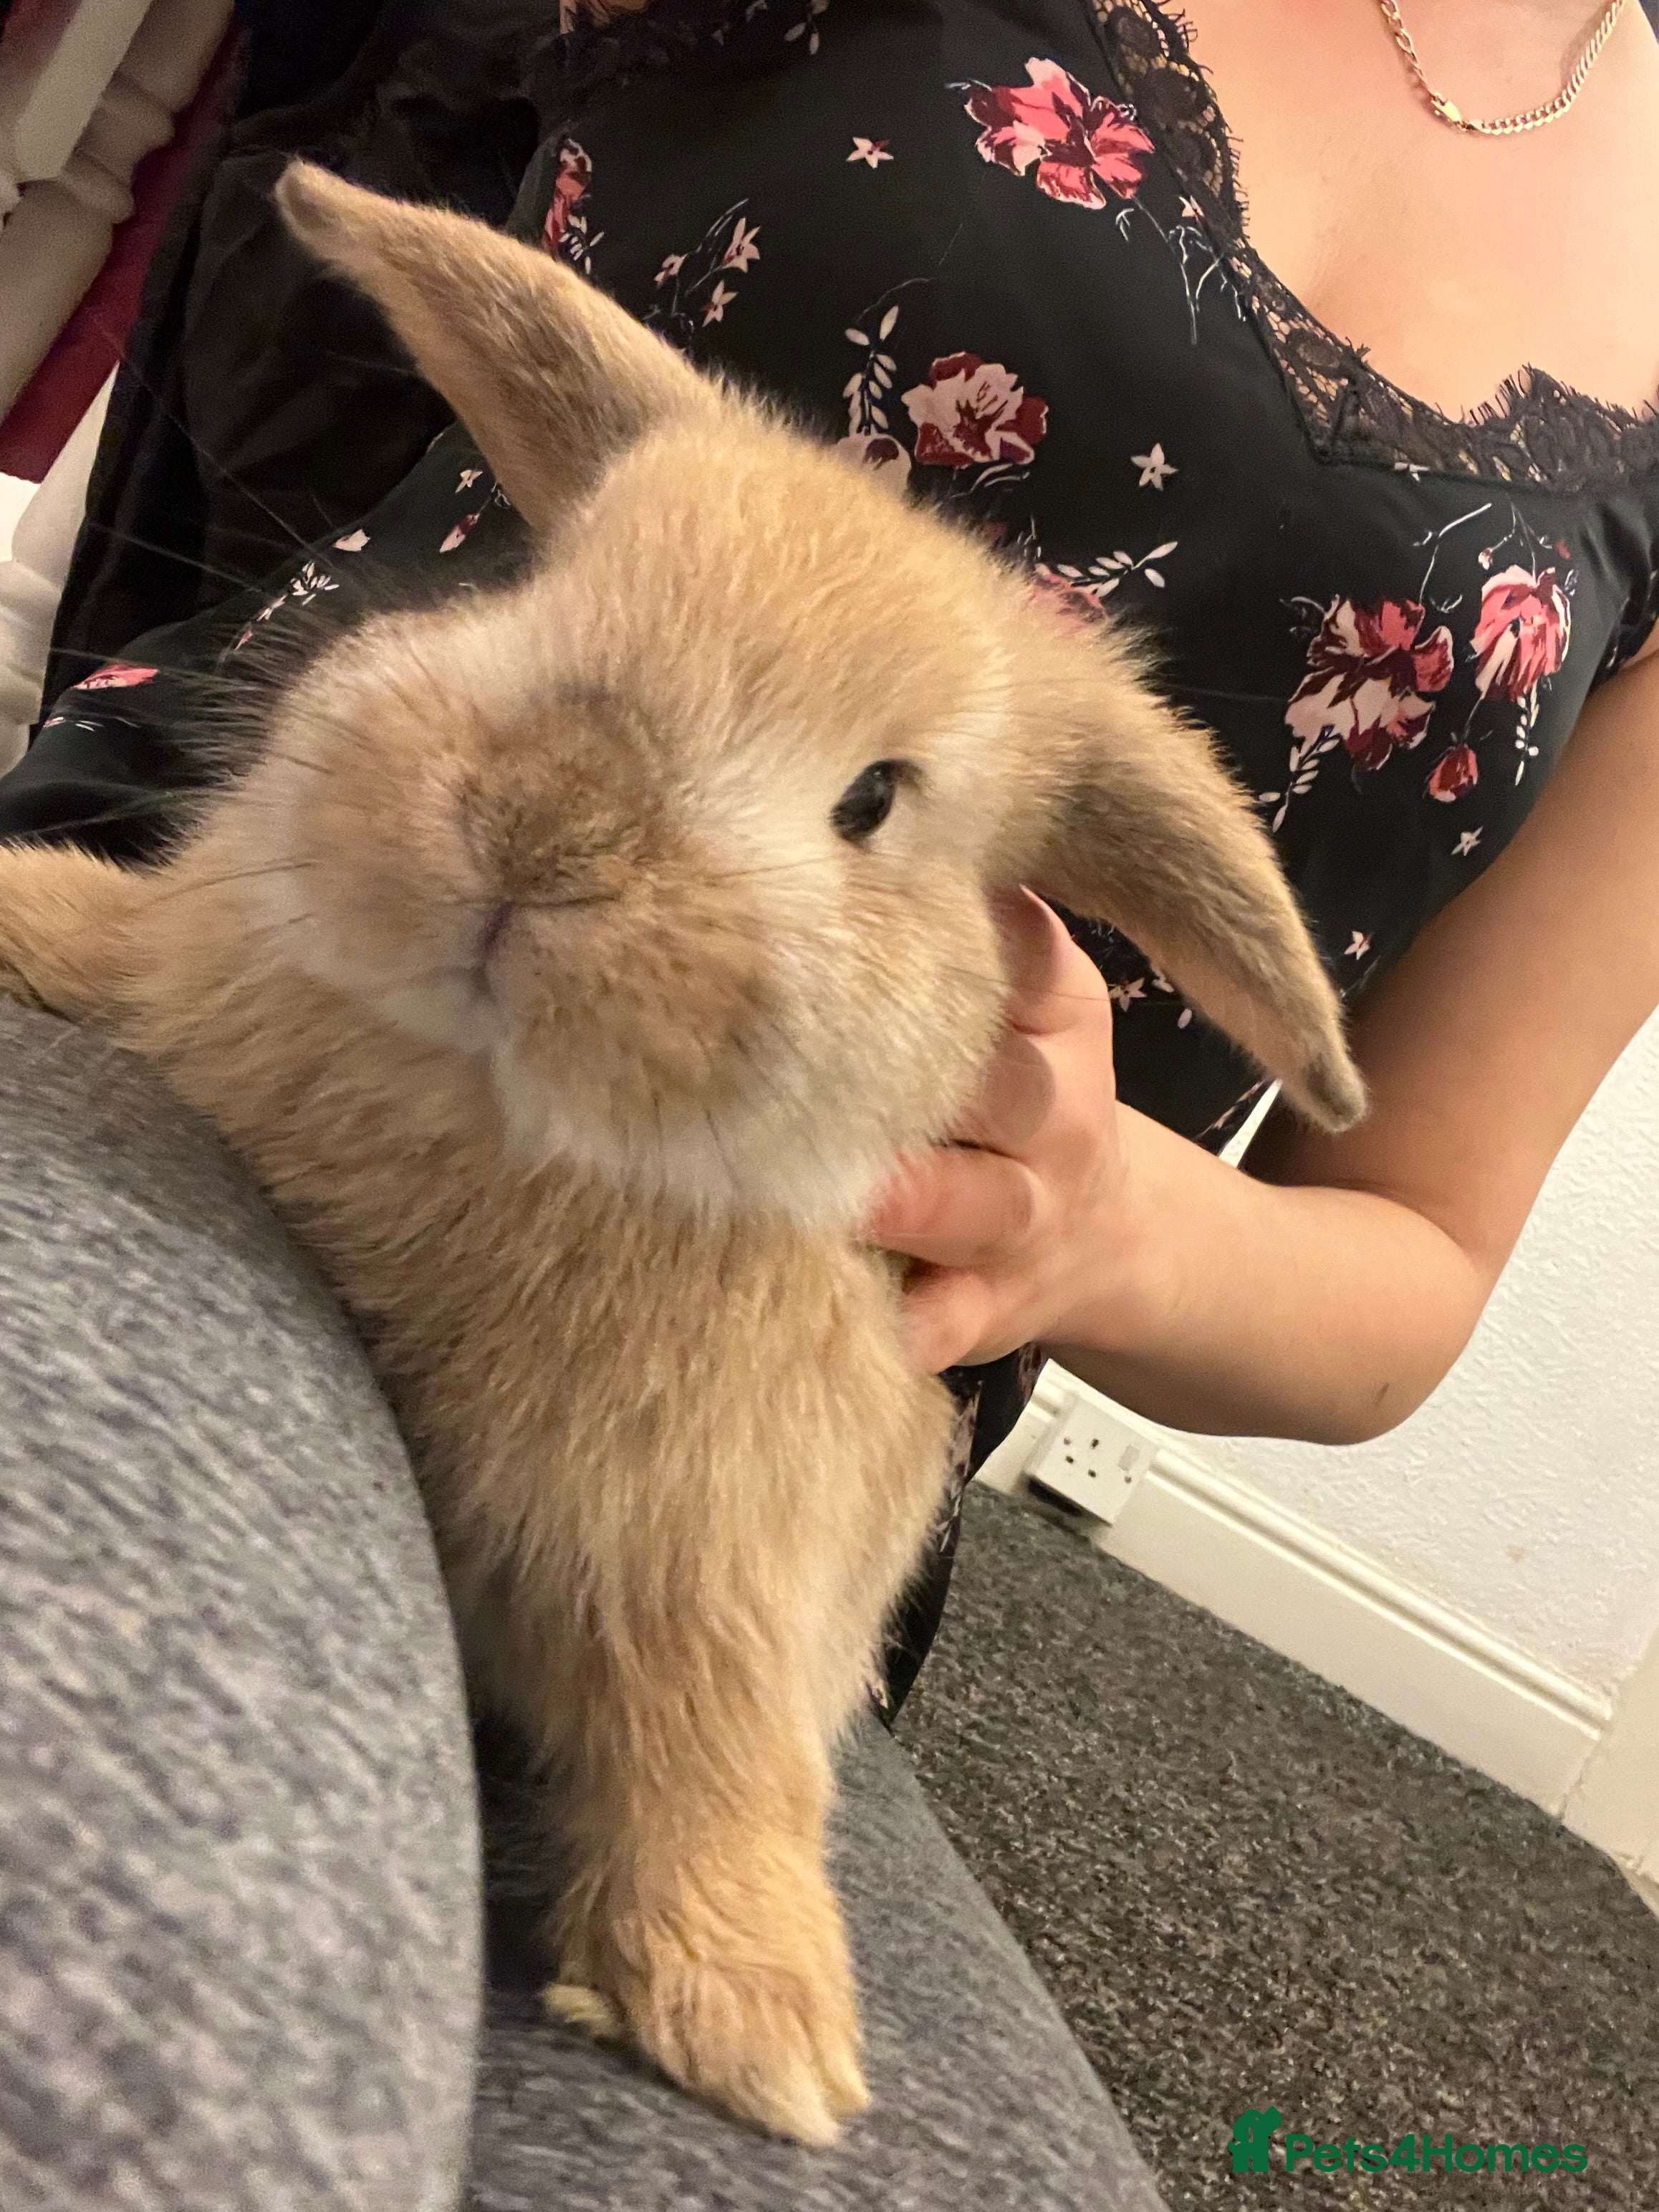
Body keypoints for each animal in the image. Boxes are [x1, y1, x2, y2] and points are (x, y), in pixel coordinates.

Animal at [0, 161, 1365, 2146]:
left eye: (872, 798)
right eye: (546, 579)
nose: (545, 829)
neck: (491, 1104)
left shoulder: (715, 1550)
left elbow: (717, 1750)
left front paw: (748, 2029)